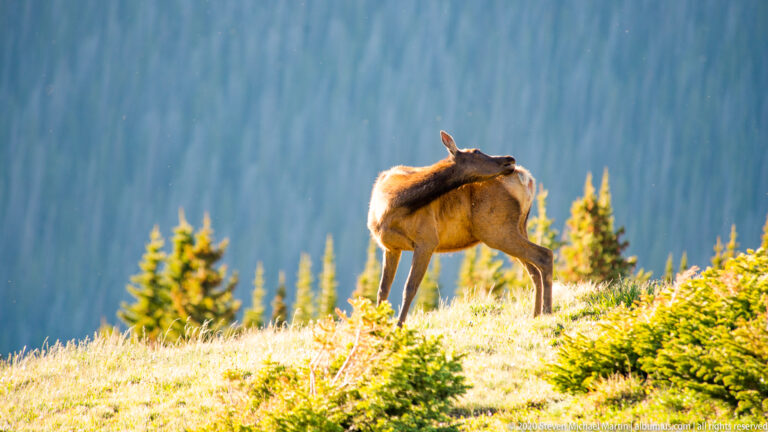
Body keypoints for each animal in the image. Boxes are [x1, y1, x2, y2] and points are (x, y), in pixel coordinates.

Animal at [367, 130, 553, 326]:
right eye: (476, 151)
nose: (509, 159)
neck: (391, 204)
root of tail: (528, 179)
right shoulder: (390, 247)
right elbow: (382, 291)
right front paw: (377, 326)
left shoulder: (427, 240)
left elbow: (410, 288)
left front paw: (399, 326)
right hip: (518, 227)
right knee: (534, 269)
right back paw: (536, 314)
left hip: (496, 229)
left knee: (544, 255)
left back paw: (547, 312)